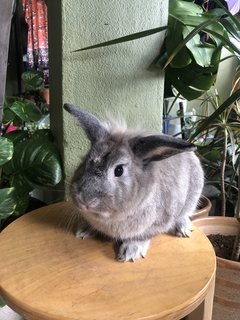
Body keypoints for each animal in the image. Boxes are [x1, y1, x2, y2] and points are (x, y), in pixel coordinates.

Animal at [63, 104, 204, 262]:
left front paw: (130, 253)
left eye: (119, 170)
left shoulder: (157, 224)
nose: (84, 200)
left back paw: (183, 229)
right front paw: (83, 230)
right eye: (86, 161)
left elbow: (141, 237)